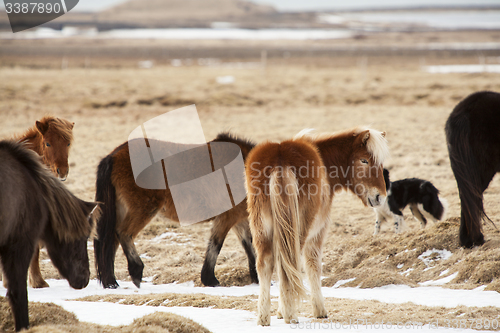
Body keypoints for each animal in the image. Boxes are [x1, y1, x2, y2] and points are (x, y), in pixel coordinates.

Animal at [94, 132, 258, 288]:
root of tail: (114, 155)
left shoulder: (239, 220)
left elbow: (251, 247)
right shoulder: (227, 217)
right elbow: (216, 245)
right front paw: (210, 280)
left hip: (121, 210)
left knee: (111, 241)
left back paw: (111, 283)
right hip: (143, 209)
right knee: (123, 233)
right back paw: (135, 271)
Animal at [244, 127, 388, 324]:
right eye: (364, 160)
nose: (380, 197)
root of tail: (280, 161)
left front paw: (279, 312)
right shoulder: (317, 234)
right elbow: (313, 266)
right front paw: (319, 310)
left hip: (262, 230)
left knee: (265, 264)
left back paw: (264, 318)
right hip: (299, 231)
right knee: (290, 263)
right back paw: (291, 315)